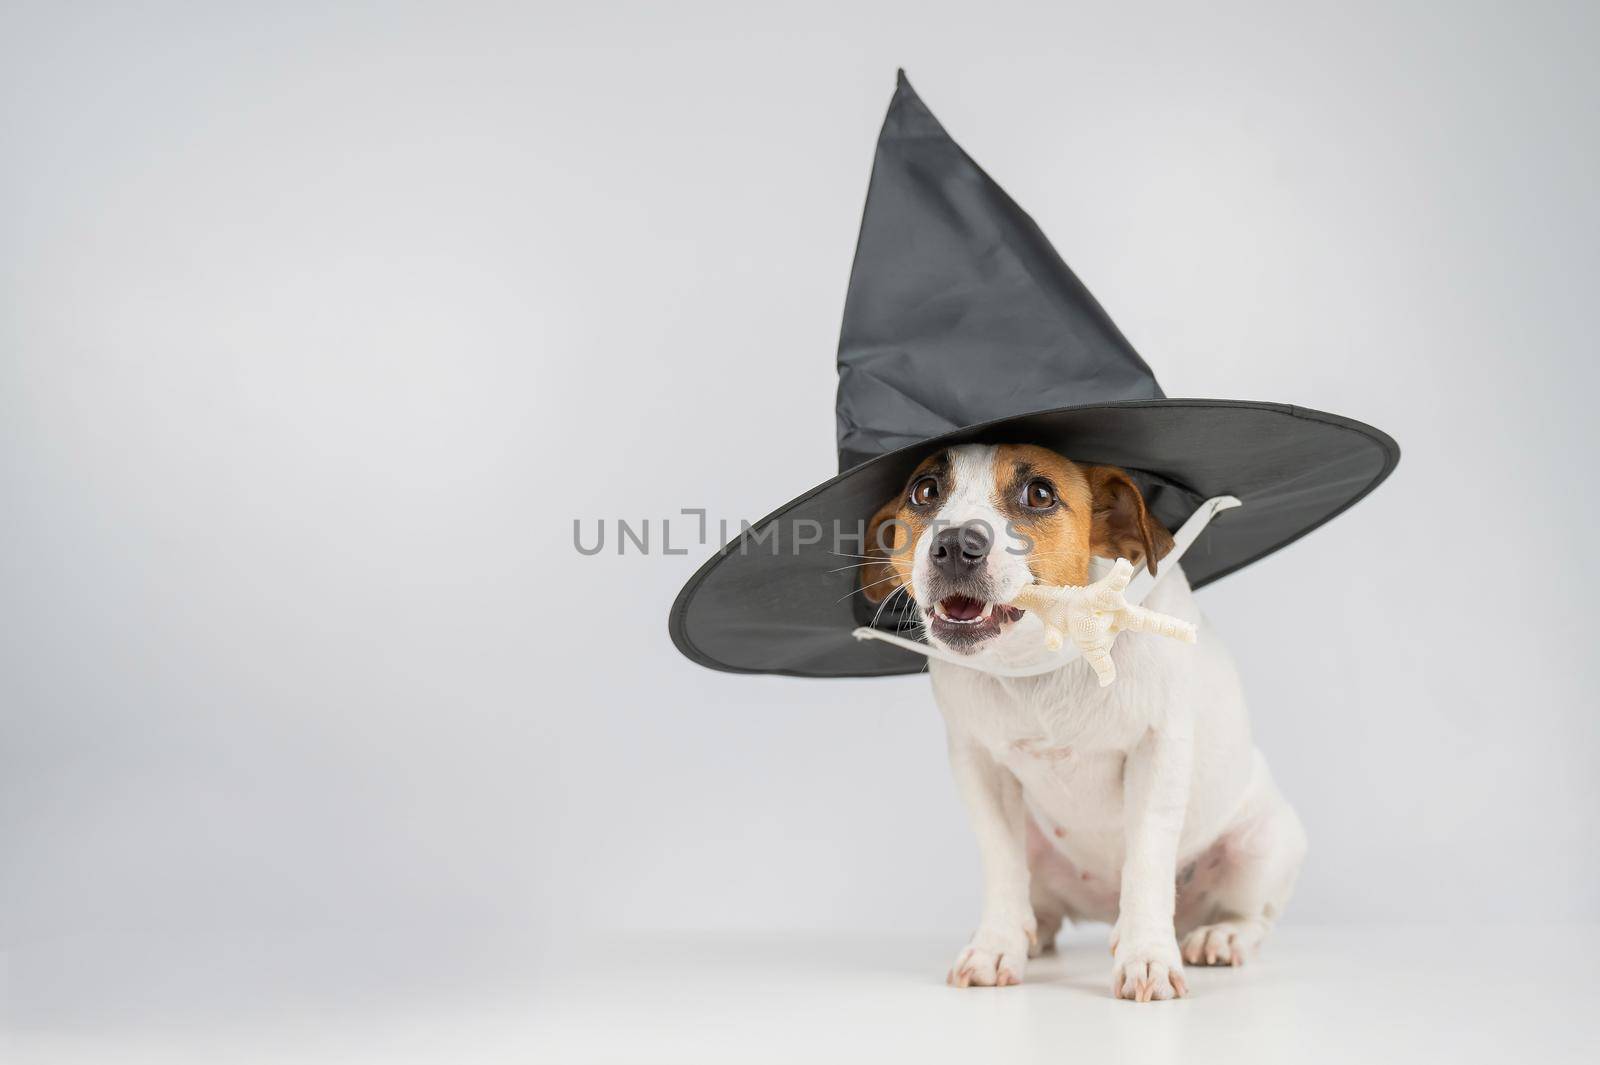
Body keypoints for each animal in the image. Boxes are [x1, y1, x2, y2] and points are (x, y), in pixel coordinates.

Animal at [870, 438, 1305, 997]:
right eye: (924, 490)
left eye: (1039, 494)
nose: (952, 544)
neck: (1044, 652)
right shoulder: (979, 766)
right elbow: (1002, 864)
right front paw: (996, 945)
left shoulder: (1157, 752)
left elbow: (1146, 860)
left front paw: (1147, 955)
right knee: (1039, 902)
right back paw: (1031, 932)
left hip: (1262, 846)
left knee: (1252, 917)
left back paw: (1220, 936)